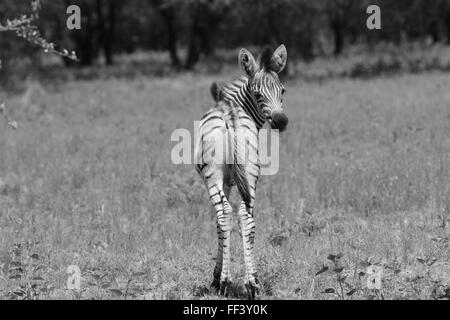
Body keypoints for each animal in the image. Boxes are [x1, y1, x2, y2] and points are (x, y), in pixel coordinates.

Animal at [194, 45, 288, 300]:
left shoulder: (226, 182)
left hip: (213, 176)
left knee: (225, 213)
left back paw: (225, 282)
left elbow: (219, 224)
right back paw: (252, 283)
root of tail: (230, 115)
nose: (281, 121)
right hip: (251, 172)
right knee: (246, 216)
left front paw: (216, 278)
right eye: (257, 94)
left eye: (282, 91)